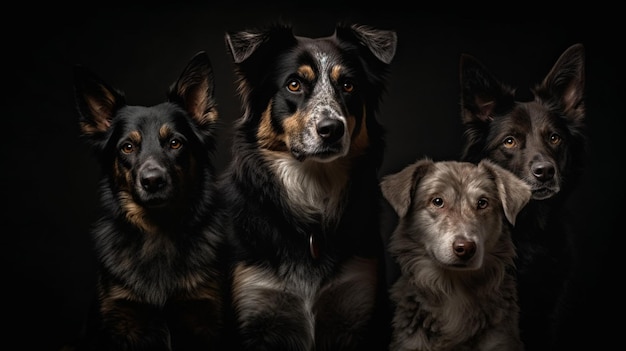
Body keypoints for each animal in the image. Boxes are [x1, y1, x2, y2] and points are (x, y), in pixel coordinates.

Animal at [73, 51, 228, 350]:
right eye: (127, 147)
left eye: (175, 143)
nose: (153, 181)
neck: (158, 232)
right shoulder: (119, 319)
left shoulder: (205, 316)